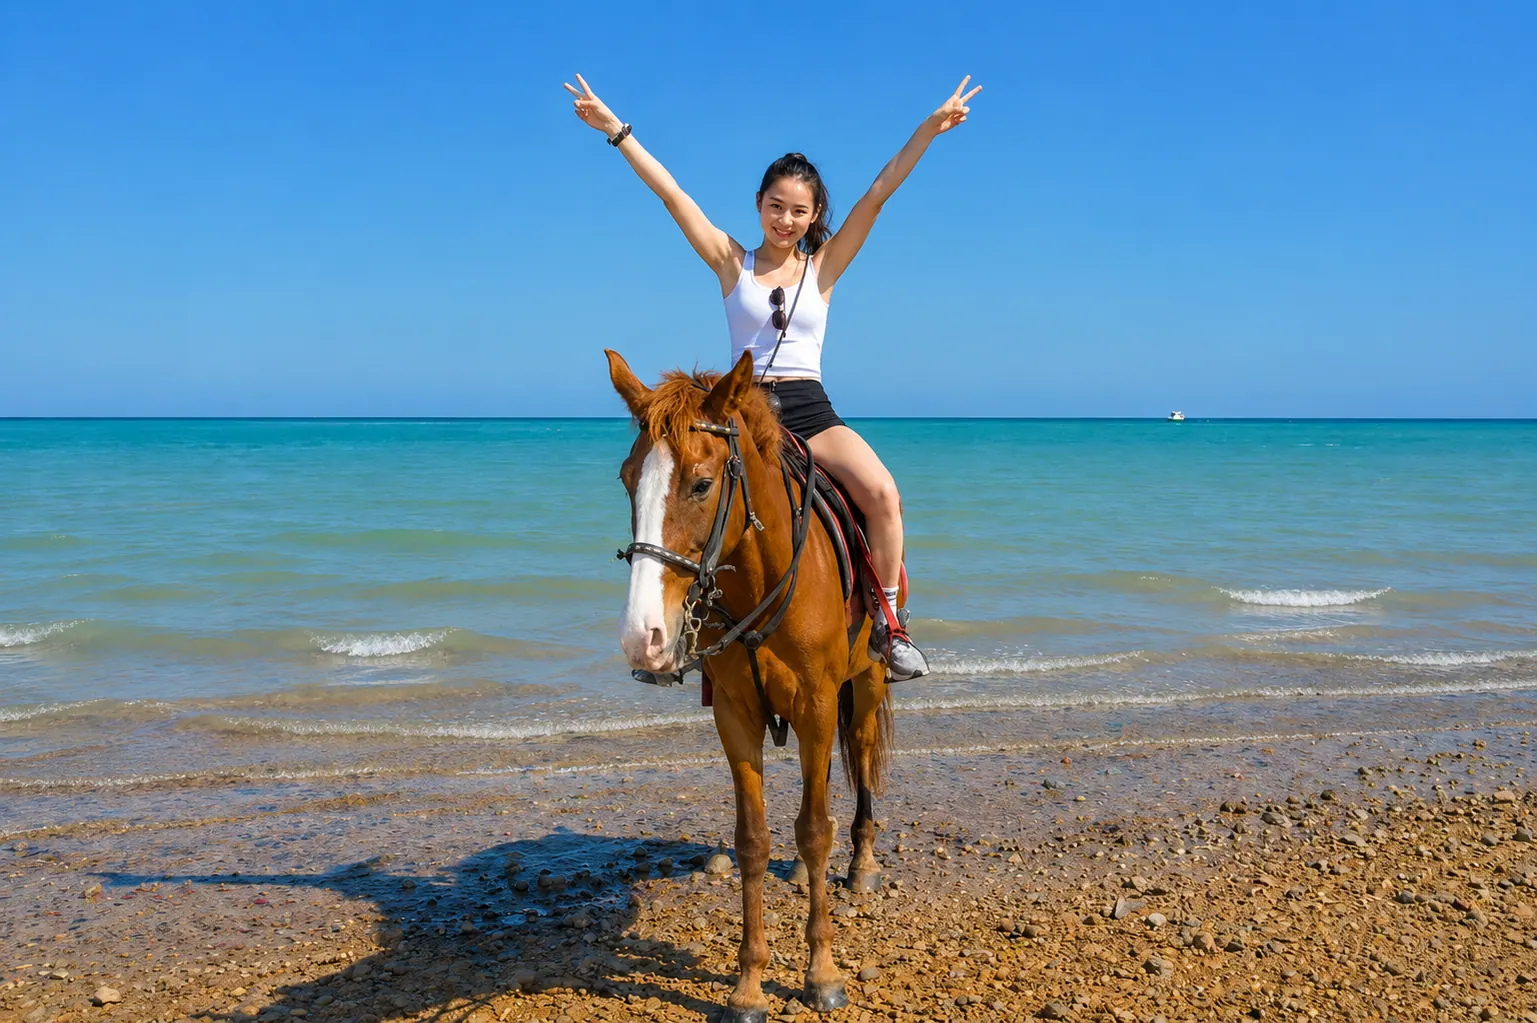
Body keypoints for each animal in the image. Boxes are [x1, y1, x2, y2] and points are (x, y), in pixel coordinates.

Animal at [607, 348, 896, 1023]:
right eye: (629, 480)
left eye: (701, 483)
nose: (642, 638)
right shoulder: (736, 715)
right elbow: (754, 841)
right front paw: (748, 984)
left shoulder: (818, 706)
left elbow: (814, 831)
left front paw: (822, 974)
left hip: (865, 685)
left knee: (862, 754)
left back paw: (863, 863)